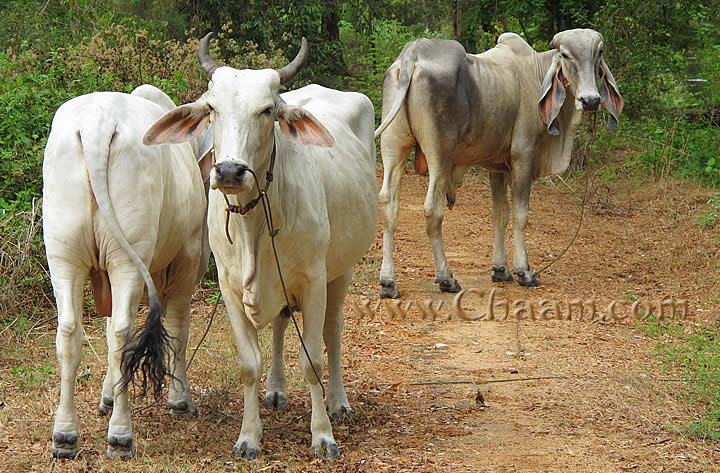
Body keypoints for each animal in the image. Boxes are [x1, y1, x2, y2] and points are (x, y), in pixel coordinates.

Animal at [43, 85, 211, 458]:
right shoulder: (187, 260)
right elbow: (178, 328)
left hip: (63, 254)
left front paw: (106, 397)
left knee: (69, 332)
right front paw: (180, 400)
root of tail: (97, 124)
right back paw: (120, 436)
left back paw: (65, 435)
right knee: (123, 334)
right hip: (126, 260)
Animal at [142, 33, 376, 458]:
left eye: (267, 110)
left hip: (341, 270)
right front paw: (249, 437)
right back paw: (276, 390)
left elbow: (312, 358)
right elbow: (249, 364)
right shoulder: (231, 288)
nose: (230, 171)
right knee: (282, 323)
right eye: (212, 108)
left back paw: (338, 402)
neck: (253, 226)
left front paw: (323, 435)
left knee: (333, 331)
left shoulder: (314, 281)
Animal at [374, 28, 620, 296]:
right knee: (432, 210)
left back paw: (388, 282)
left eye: (599, 53)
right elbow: (520, 216)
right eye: (565, 55)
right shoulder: (523, 157)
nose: (590, 100)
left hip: (393, 147)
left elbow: (499, 215)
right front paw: (524, 271)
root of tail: (412, 55)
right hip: (440, 155)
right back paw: (446, 278)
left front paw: (500, 270)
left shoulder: (497, 167)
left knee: (388, 205)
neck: (535, 72)